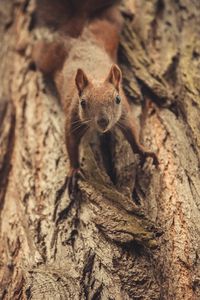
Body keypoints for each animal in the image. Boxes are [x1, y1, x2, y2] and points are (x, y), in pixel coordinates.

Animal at [32, 1, 159, 195]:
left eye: (117, 99)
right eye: (83, 103)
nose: (103, 122)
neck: (96, 77)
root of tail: (78, 34)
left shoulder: (124, 112)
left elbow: (131, 131)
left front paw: (142, 150)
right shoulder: (73, 117)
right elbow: (70, 142)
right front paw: (74, 169)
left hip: (108, 29)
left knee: (111, 16)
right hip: (50, 58)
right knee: (39, 52)